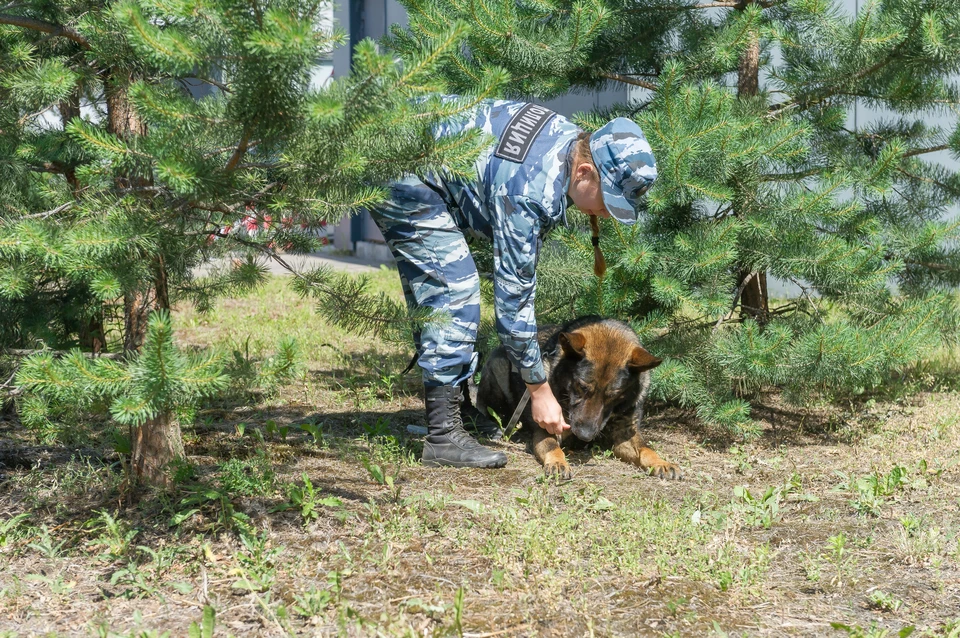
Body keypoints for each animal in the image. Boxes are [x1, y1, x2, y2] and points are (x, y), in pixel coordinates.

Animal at [476, 318, 680, 482]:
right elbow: (552, 446)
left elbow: (646, 448)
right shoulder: (549, 428)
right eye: (582, 386)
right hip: (499, 369)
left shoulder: (626, 433)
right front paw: (558, 462)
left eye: (613, 395)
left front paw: (662, 462)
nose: (584, 435)